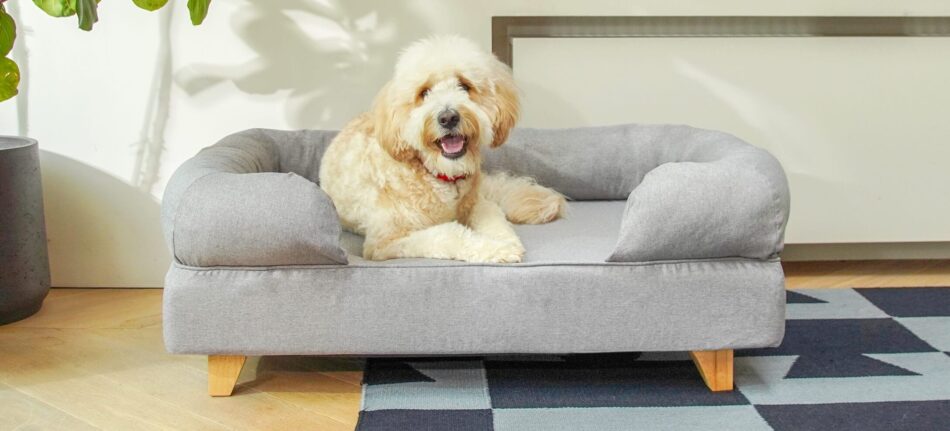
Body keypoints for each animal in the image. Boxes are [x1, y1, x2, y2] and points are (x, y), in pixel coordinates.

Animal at [324, 34, 568, 264]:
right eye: (424, 92)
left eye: (464, 85)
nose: (448, 117)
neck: (442, 176)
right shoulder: (387, 241)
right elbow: (449, 234)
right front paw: (496, 249)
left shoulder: (477, 203)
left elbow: (497, 220)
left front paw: (505, 242)